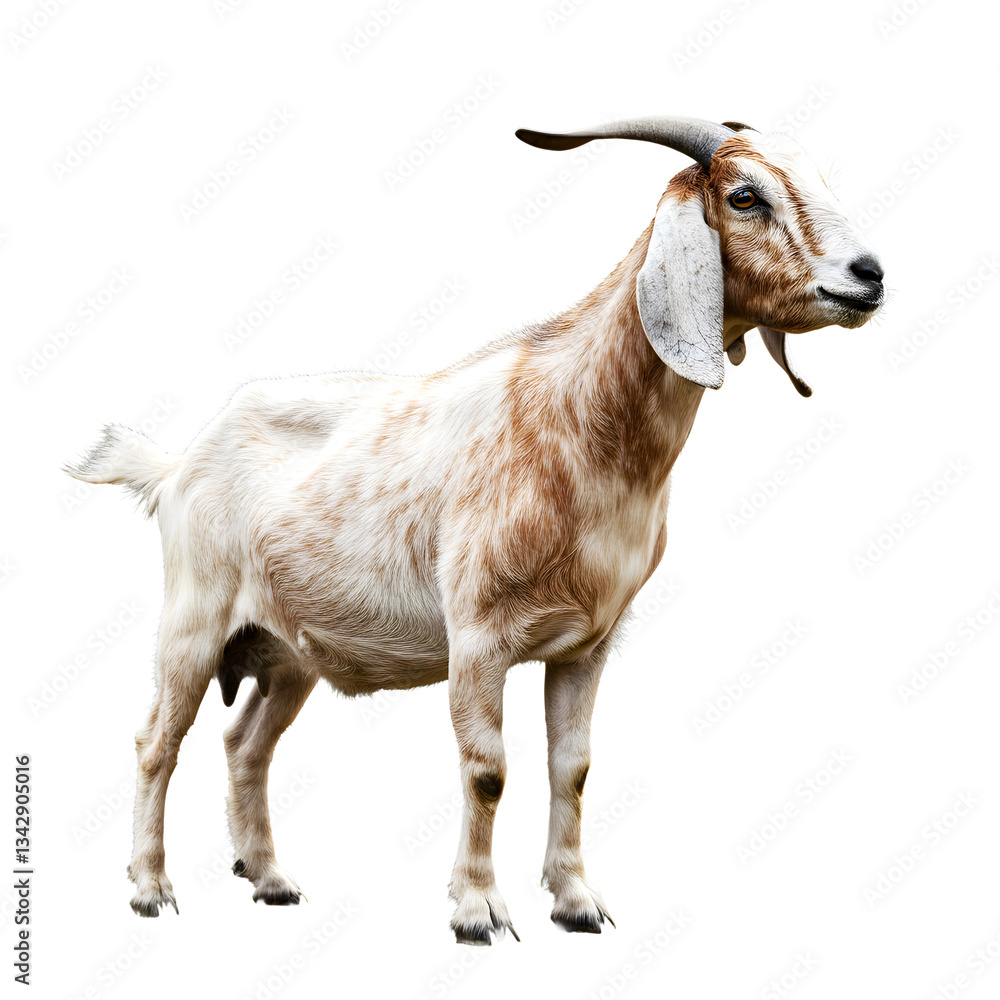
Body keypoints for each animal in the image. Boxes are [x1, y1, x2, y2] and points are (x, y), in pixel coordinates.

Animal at [66, 115, 884, 944]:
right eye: (745, 196)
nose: (870, 275)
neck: (583, 424)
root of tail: (174, 466)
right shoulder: (479, 632)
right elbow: (488, 768)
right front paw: (478, 912)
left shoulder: (589, 644)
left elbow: (573, 768)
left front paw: (577, 903)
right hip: (193, 618)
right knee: (157, 742)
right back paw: (150, 888)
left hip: (288, 650)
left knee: (245, 744)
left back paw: (270, 880)